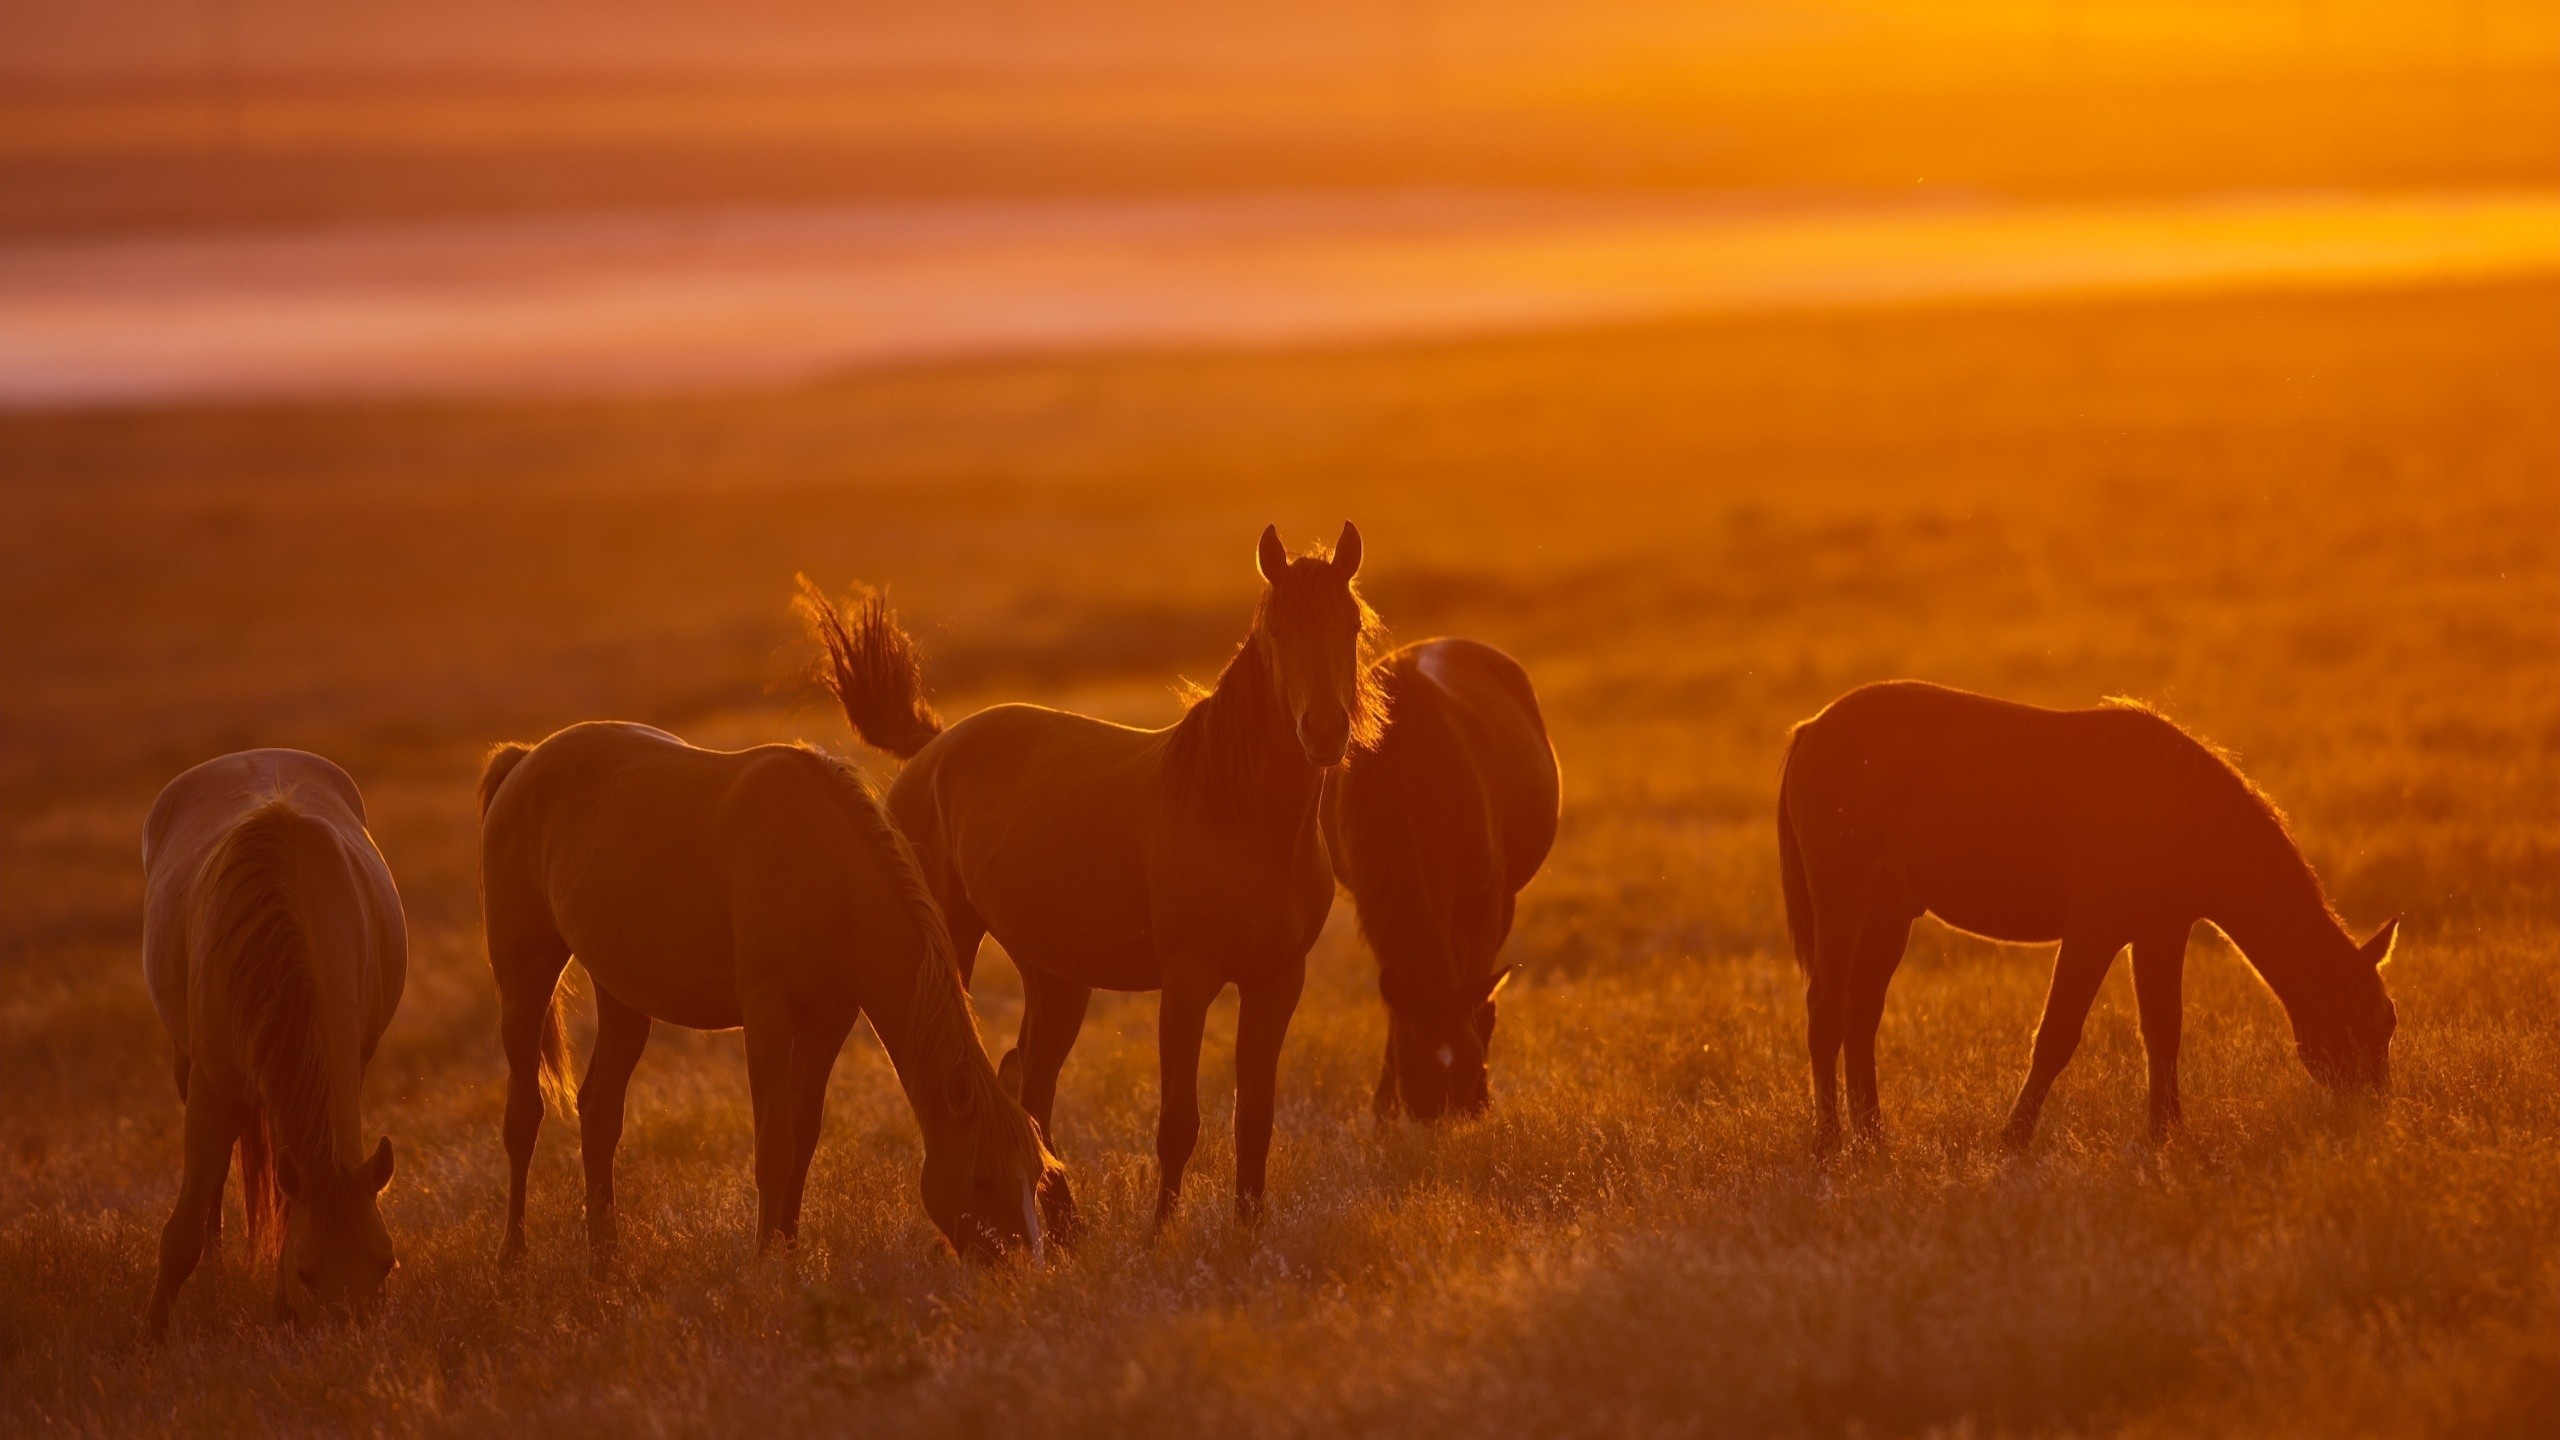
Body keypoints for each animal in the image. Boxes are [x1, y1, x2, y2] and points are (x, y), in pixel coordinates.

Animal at [476, 717, 1064, 1265]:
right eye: (981, 1177)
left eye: (1034, 1173)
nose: (1019, 1266)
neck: (826, 873)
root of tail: (524, 760)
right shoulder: (767, 1021)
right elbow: (774, 1146)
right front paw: (764, 1261)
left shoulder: (829, 1023)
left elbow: (802, 1137)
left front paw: (789, 1246)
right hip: (524, 979)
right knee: (523, 1115)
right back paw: (512, 1257)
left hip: (622, 995)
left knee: (599, 1112)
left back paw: (605, 1256)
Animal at [808, 520, 1392, 1214]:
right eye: (1277, 627)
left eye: (1351, 625)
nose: (1325, 731)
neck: (1240, 819)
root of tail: (933, 748)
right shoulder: (1188, 981)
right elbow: (1178, 1123)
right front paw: (1161, 1233)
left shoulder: (1277, 980)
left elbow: (1254, 1119)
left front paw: (1246, 1230)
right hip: (956, 943)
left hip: (1057, 978)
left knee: (1030, 1087)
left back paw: (1067, 1221)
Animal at [1320, 638, 1556, 1122]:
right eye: (1412, 1066)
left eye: (1470, 1064)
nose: (1441, 1112)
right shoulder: (1371, 900)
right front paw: (1383, 1107)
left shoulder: (1485, 901)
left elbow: (1478, 989)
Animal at [1781, 676, 2396, 1147]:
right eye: (2373, 1021)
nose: (2377, 1111)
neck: (2183, 808)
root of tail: (1812, 729)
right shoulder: (2093, 933)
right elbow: (2057, 1035)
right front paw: (2013, 1140)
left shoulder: (2161, 933)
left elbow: (2164, 1031)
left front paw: (2165, 1136)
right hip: (1842, 902)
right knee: (1826, 1011)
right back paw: (1829, 1144)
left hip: (1889, 914)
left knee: (1861, 1015)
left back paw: (1873, 1139)